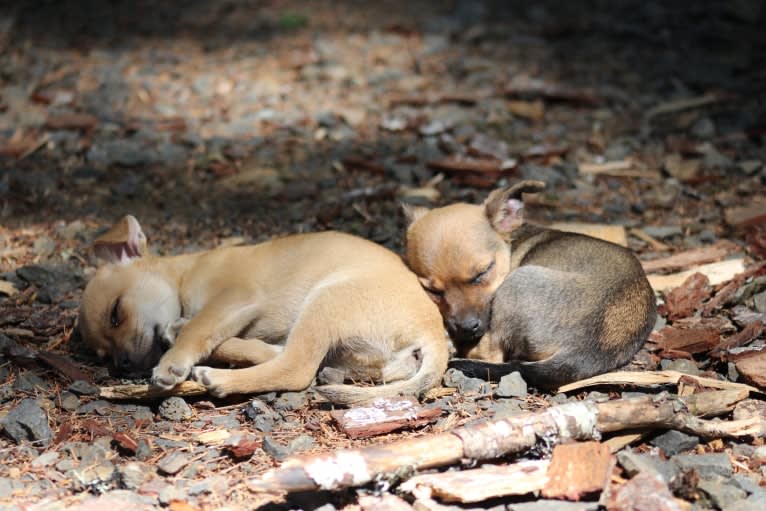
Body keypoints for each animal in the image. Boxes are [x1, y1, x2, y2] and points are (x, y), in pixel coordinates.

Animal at [76, 215, 450, 404]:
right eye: (102, 355)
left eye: (116, 313)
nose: (123, 366)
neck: (184, 273)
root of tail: (432, 330)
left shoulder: (235, 298)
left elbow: (200, 326)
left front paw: (172, 362)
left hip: (325, 299)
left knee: (295, 368)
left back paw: (218, 375)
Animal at [404, 182, 656, 386]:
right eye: (433, 291)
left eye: (482, 273)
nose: (466, 328)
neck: (510, 244)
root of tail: (586, 350)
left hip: (516, 284)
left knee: (488, 353)